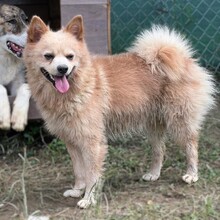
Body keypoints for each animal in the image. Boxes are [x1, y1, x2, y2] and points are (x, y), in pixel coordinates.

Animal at [23, 15, 215, 208]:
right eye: (48, 56)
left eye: (70, 57)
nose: (63, 69)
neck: (80, 85)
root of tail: (182, 57)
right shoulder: (72, 142)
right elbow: (79, 171)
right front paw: (77, 190)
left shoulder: (92, 143)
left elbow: (92, 174)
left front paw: (88, 199)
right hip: (153, 126)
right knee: (159, 150)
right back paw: (154, 174)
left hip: (179, 121)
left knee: (191, 146)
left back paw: (192, 174)